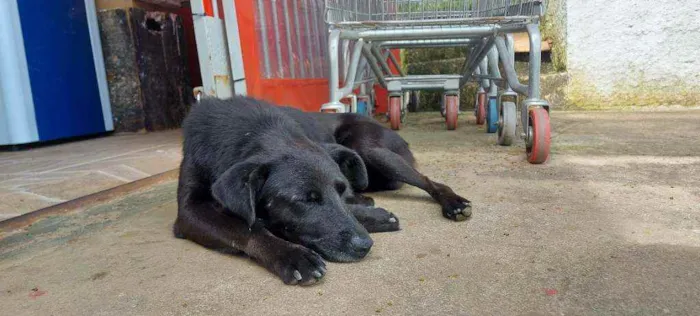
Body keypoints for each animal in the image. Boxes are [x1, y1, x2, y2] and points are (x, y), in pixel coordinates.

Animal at [173, 95, 474, 286]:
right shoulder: (189, 212)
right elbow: (246, 228)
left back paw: (453, 203)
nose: (365, 246)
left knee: (430, 182)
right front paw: (291, 255)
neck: (248, 132)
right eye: (306, 200)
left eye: (338, 190)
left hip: (371, 150)